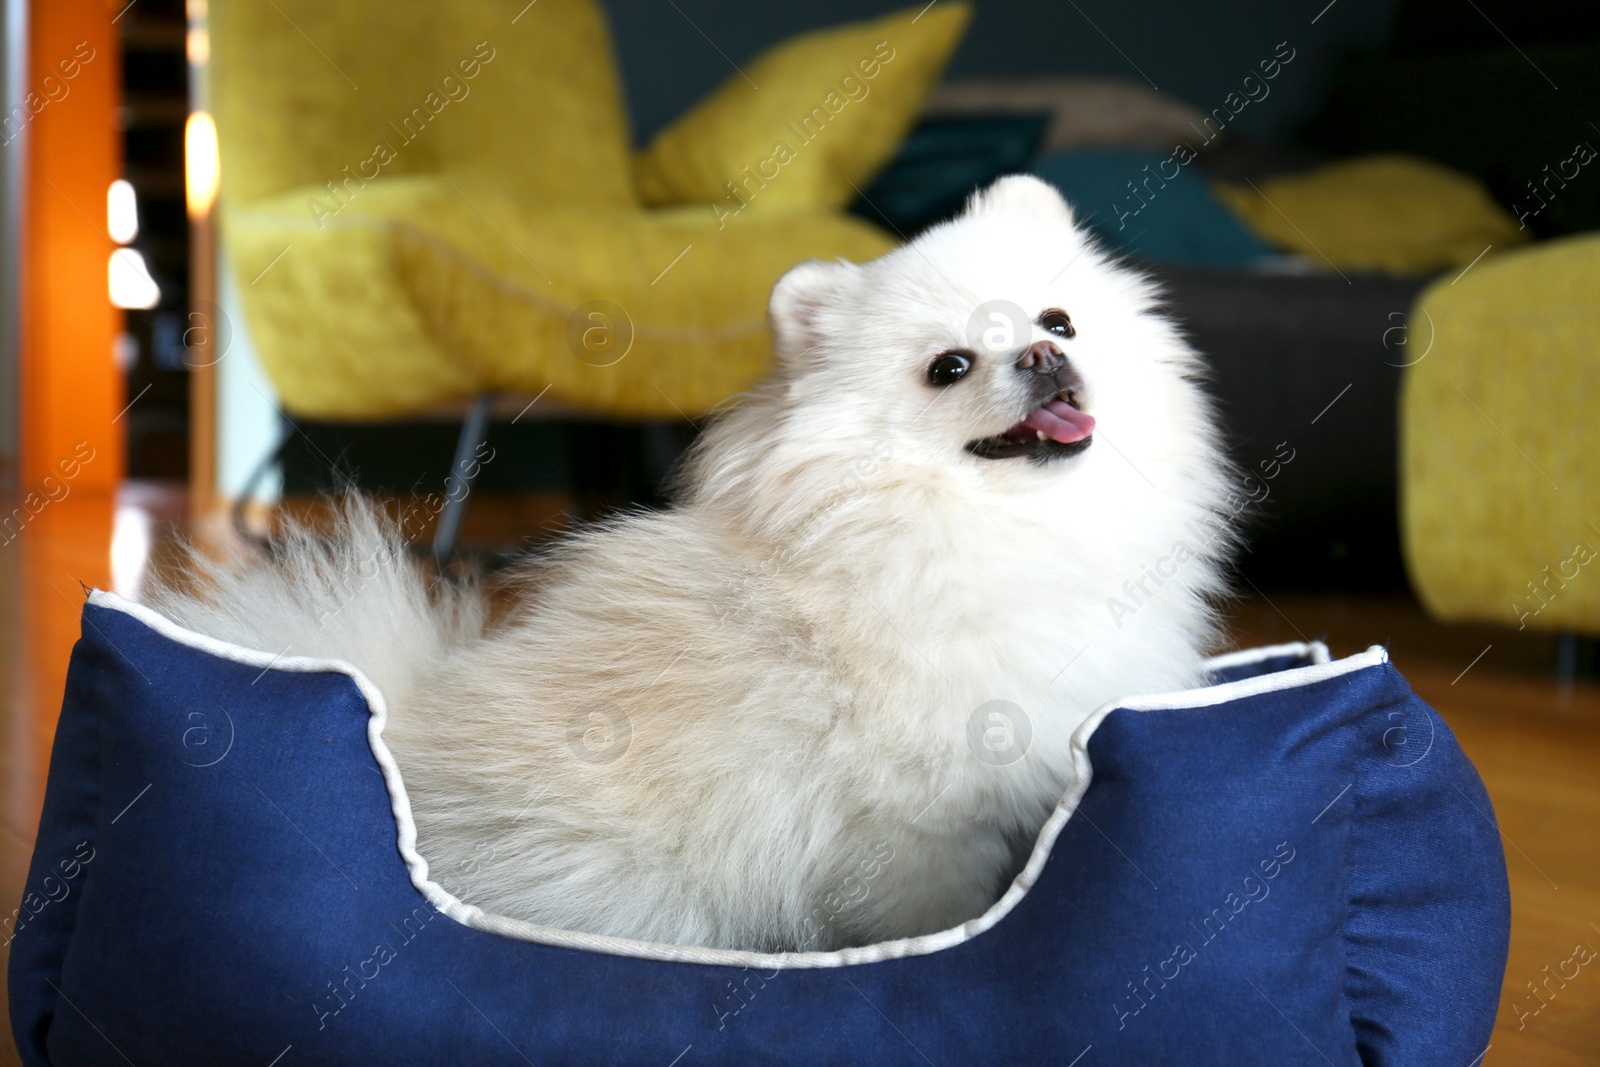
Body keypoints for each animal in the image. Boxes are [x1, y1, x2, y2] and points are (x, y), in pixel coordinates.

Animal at [150, 175, 1228, 953]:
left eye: (1058, 321)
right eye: (948, 368)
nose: (1043, 360)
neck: (985, 525)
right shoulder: (916, 829)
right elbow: (939, 918)